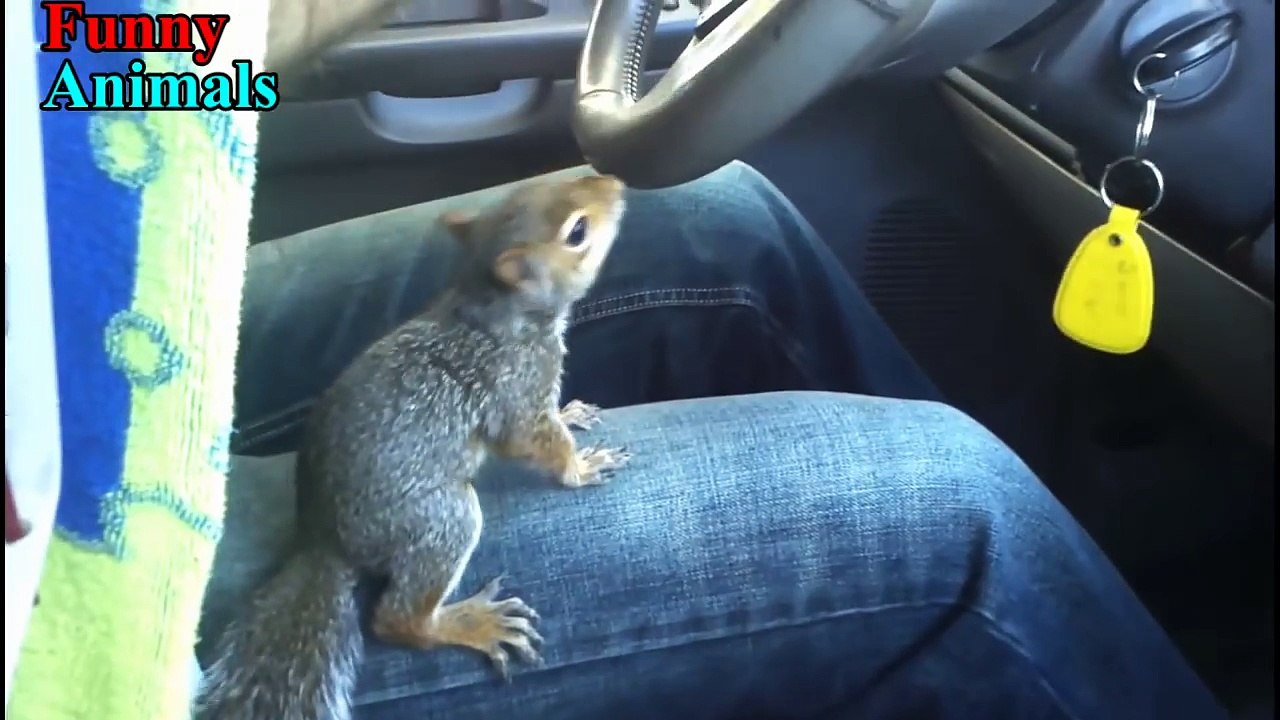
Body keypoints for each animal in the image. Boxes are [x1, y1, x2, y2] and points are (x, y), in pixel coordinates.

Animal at [195, 173, 633, 720]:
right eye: (576, 233)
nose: (615, 184)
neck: (491, 303)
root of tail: (324, 539)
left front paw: (571, 412)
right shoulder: (517, 386)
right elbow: (529, 439)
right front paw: (580, 465)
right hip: (439, 521)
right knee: (398, 620)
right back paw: (469, 623)